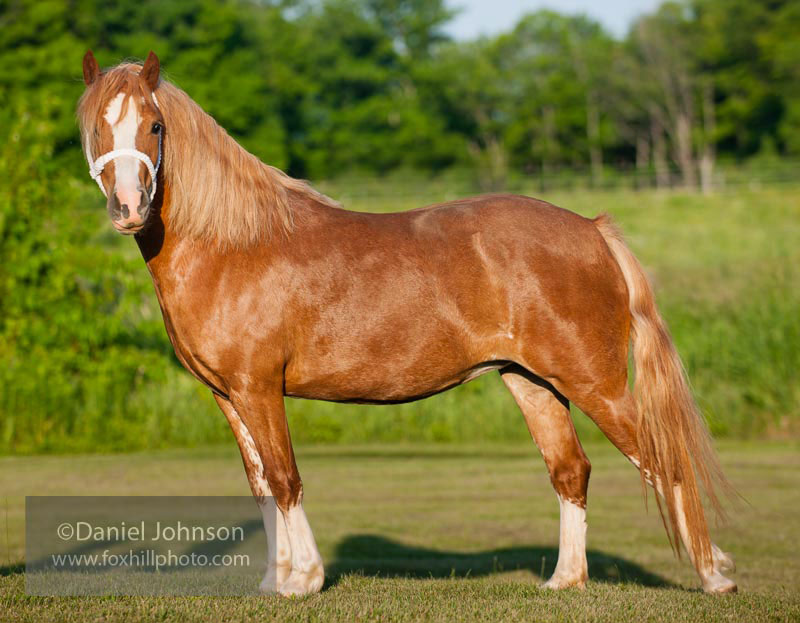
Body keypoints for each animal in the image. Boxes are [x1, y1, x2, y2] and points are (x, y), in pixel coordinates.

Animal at [76, 52, 736, 596]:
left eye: (155, 126)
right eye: (97, 128)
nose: (129, 208)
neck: (232, 246)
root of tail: (592, 229)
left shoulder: (259, 388)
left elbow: (286, 479)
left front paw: (304, 580)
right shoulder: (227, 395)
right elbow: (261, 485)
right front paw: (273, 581)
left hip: (595, 384)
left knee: (663, 460)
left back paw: (714, 576)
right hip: (532, 382)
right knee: (571, 470)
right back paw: (564, 580)